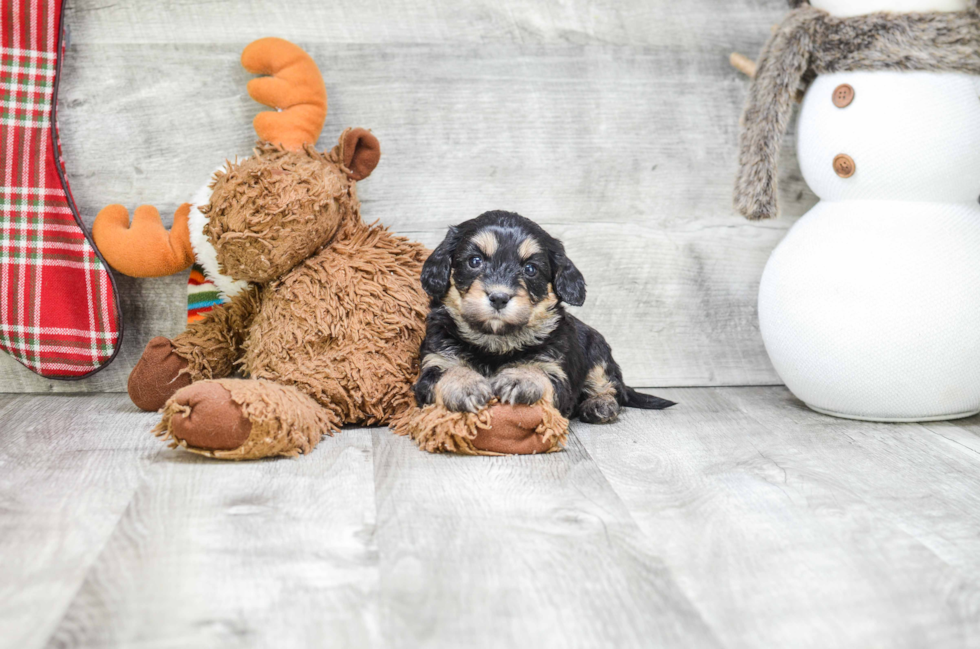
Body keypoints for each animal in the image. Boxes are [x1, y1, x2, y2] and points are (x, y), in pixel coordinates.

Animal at [414, 210, 672, 422]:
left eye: (530, 269)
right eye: (474, 261)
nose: (499, 297)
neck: (495, 342)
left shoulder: (556, 369)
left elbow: (540, 371)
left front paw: (520, 378)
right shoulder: (436, 361)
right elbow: (448, 370)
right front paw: (466, 384)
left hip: (599, 354)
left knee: (610, 387)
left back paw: (599, 405)